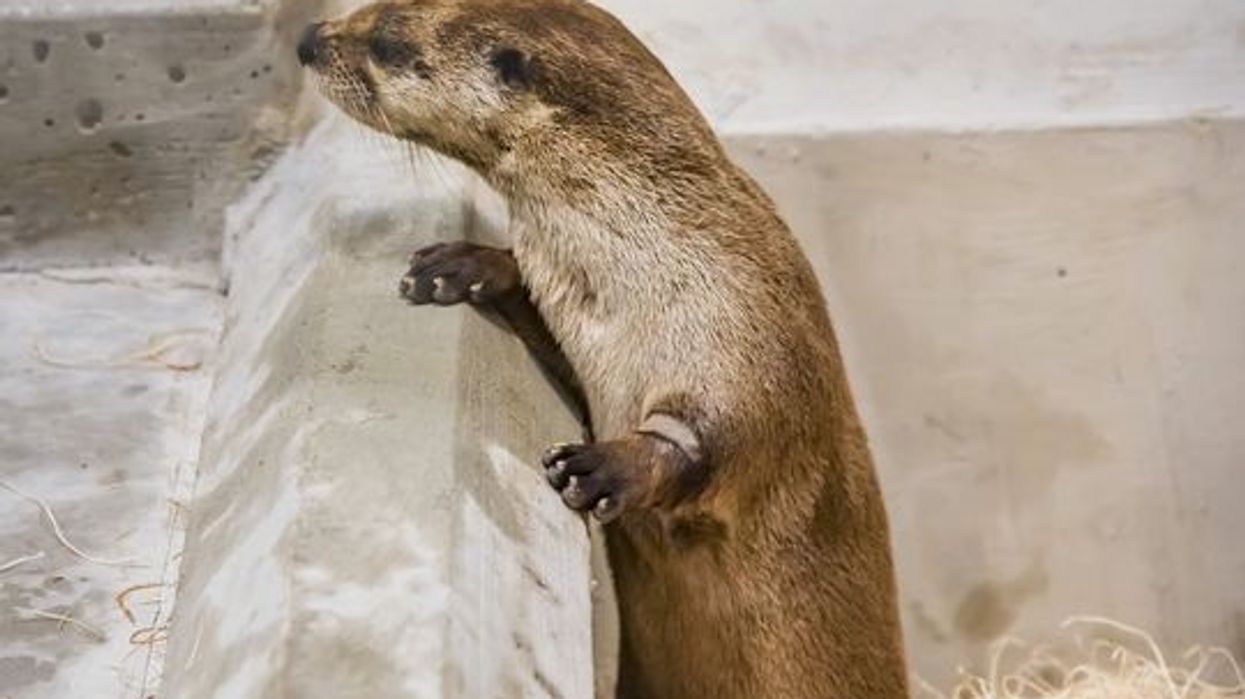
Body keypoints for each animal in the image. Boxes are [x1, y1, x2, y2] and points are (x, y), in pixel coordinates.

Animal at [298, 1, 909, 697]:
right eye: (368, 9)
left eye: (388, 43)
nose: (309, 39)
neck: (653, 249)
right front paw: (465, 266)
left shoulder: (756, 325)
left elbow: (728, 435)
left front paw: (603, 467)